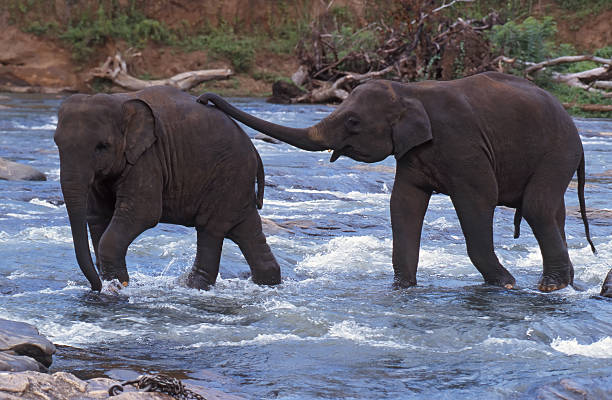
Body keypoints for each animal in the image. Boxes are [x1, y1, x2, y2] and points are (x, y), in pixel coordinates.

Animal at [53, 85, 280, 290]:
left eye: (102, 146)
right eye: (57, 144)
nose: (97, 287)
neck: (119, 102)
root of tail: (253, 149)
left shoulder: (148, 158)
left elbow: (143, 213)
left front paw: (119, 284)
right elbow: (98, 216)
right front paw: (112, 282)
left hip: (229, 179)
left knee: (210, 230)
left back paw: (193, 287)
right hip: (236, 185)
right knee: (245, 231)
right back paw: (268, 281)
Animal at [198, 72, 596, 290]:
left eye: (353, 121)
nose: (205, 98)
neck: (409, 90)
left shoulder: (463, 145)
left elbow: (478, 199)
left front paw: (505, 282)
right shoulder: (412, 154)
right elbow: (403, 204)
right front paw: (403, 287)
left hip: (556, 152)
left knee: (537, 207)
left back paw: (550, 286)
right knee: (553, 212)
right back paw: (566, 282)